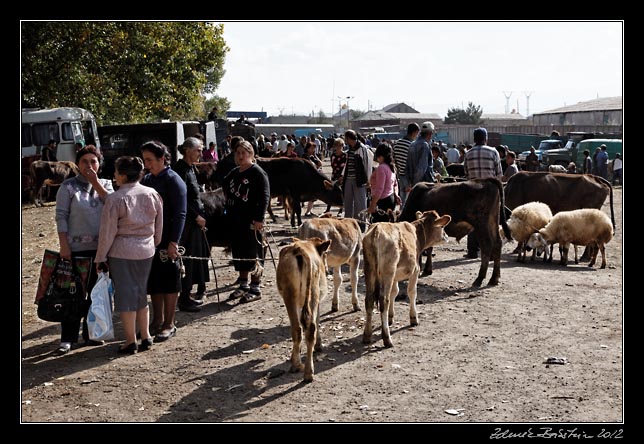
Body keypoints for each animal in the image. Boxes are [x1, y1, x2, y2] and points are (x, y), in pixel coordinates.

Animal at [276, 236, 332, 382]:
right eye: (325, 254)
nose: (327, 269)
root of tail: (301, 250)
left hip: (291, 296)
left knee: (297, 328)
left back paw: (297, 365)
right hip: (312, 293)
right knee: (310, 327)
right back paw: (308, 372)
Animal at [362, 210, 452, 348]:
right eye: (442, 226)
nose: (446, 236)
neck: (416, 234)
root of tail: (377, 229)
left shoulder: (395, 276)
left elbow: (394, 293)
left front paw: (390, 317)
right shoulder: (415, 270)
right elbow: (412, 292)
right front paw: (414, 318)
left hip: (369, 269)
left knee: (369, 299)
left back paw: (367, 335)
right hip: (388, 271)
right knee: (384, 300)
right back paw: (387, 338)